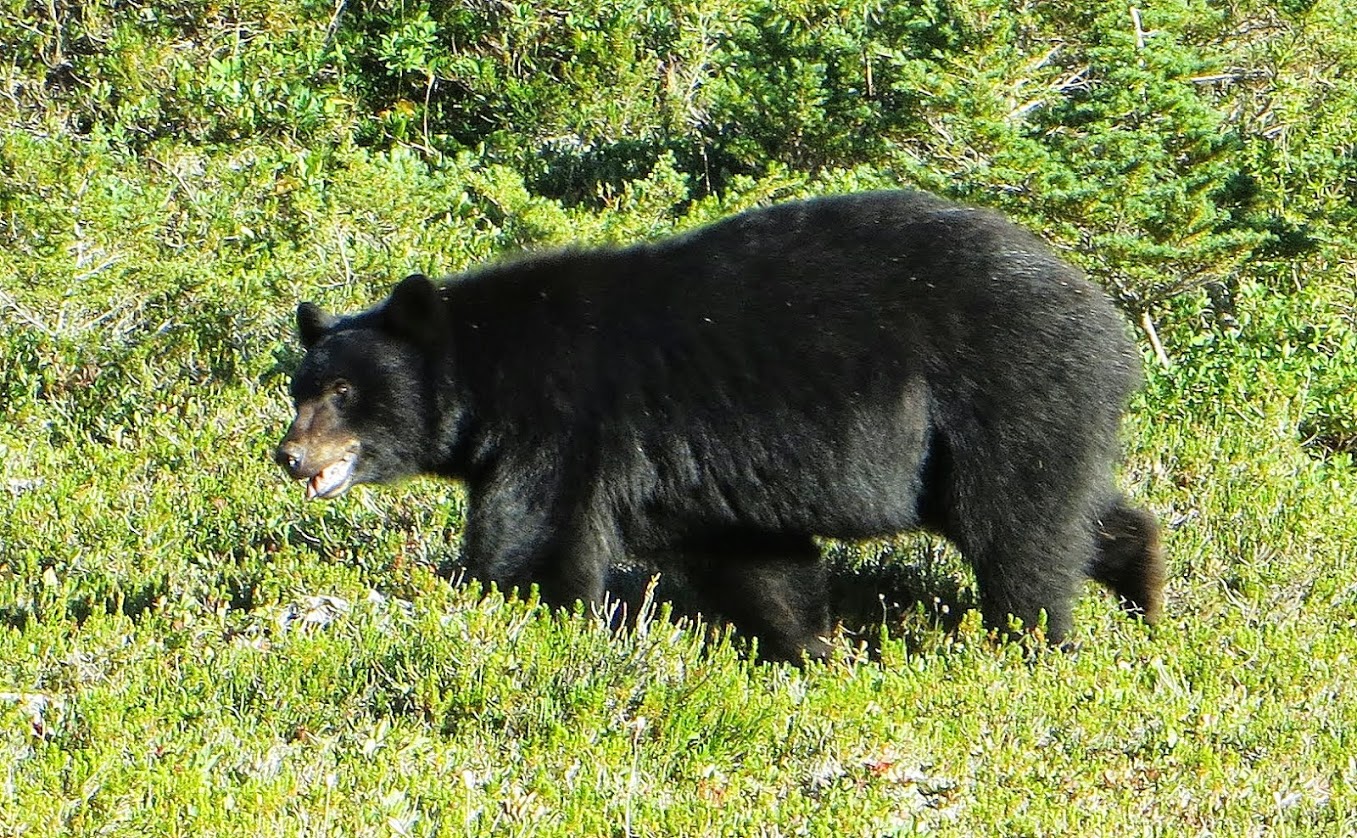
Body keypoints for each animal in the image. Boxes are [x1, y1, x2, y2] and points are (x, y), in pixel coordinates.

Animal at [275, 190, 1164, 662]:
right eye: (298, 388)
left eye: (344, 391)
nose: (289, 455)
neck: (490, 374)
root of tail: (1110, 327)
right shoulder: (692, 477)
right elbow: (752, 557)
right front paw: (810, 648)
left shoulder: (563, 427)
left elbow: (534, 540)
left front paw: (527, 621)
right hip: (982, 438)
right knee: (1065, 511)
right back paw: (1145, 590)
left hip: (1000, 393)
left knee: (1017, 529)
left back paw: (1031, 641)